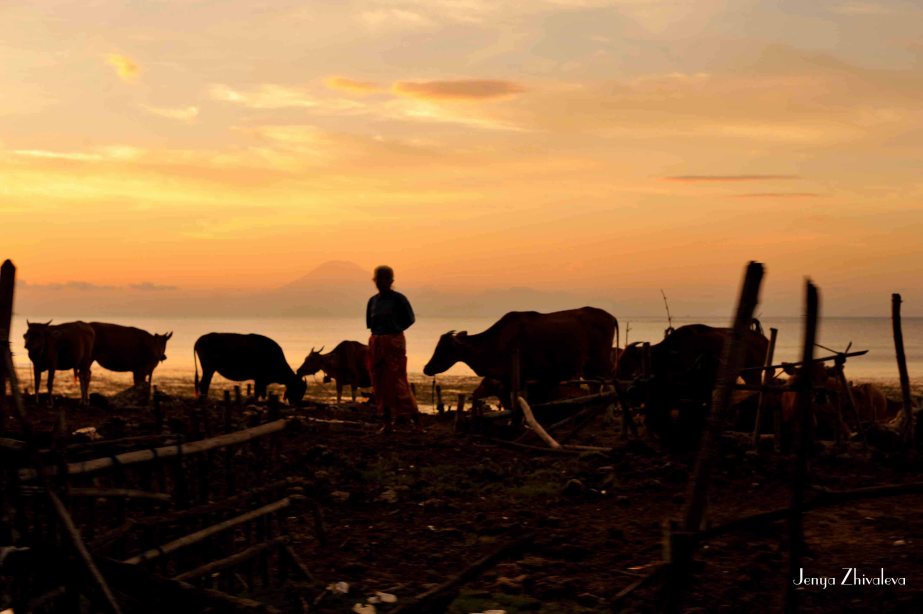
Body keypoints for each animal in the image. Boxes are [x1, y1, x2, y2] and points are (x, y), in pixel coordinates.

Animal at [423, 307, 618, 404]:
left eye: (442, 348)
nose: (426, 368)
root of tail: (611, 316)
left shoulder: (519, 376)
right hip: (589, 367)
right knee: (596, 386)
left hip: (600, 362)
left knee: (611, 384)